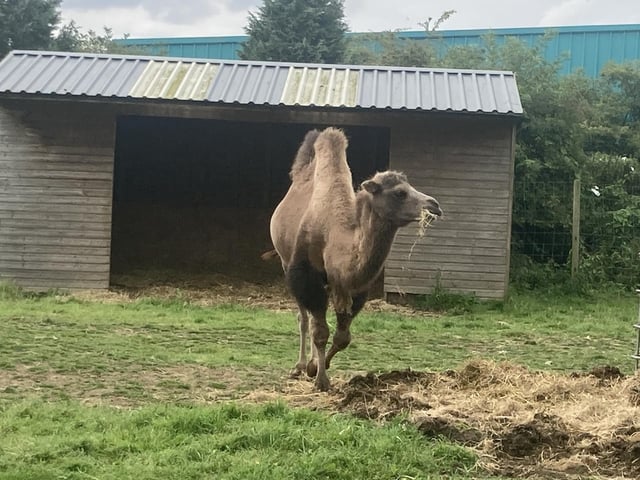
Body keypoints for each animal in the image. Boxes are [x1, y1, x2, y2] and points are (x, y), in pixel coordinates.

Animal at [269, 127, 442, 391]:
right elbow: (320, 331)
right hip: (285, 262)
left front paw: (319, 366)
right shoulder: (307, 274)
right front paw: (320, 378)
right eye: (400, 192)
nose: (435, 206)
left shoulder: (352, 287)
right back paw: (299, 366)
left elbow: (342, 337)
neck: (335, 233)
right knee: (304, 318)